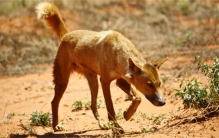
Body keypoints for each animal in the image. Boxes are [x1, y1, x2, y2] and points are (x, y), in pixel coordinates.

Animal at [35, 1, 168, 134]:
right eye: (149, 84)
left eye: (159, 84)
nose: (162, 102)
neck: (118, 51)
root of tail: (66, 34)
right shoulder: (105, 81)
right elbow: (111, 108)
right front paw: (117, 127)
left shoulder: (121, 81)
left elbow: (137, 98)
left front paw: (127, 114)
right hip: (63, 81)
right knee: (54, 102)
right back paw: (56, 125)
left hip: (93, 82)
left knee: (92, 105)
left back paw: (102, 123)